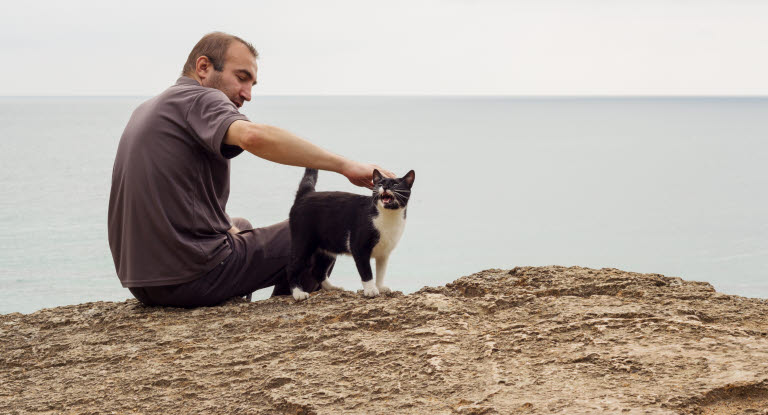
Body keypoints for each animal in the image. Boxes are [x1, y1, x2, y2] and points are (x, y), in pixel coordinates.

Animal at [286, 167, 414, 300]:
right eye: (380, 183)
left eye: (395, 184)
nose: (384, 187)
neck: (388, 216)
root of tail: (306, 193)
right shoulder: (359, 248)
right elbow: (366, 271)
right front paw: (371, 290)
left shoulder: (384, 253)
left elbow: (381, 271)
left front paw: (380, 287)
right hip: (303, 241)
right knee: (292, 267)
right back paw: (298, 293)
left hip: (327, 247)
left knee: (317, 271)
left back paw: (332, 288)